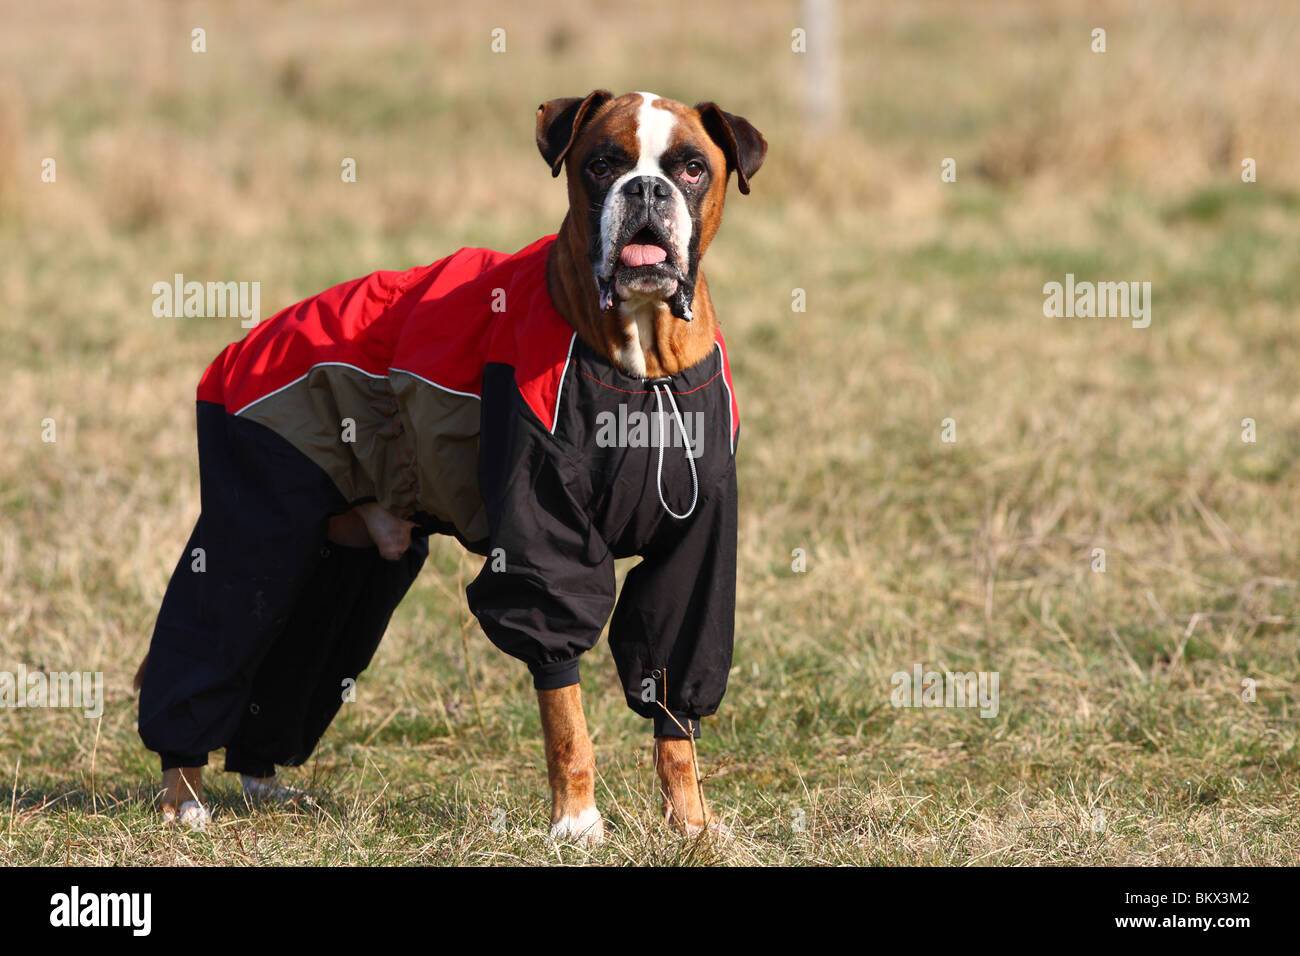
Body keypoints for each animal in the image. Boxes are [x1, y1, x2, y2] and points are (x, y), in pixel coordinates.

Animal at [134, 93, 759, 842]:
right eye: (602, 164)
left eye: (692, 168)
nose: (645, 189)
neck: (642, 366)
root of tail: (244, 345)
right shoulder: (542, 554)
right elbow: (565, 711)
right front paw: (576, 821)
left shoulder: (692, 562)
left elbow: (673, 707)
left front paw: (691, 823)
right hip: (255, 542)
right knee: (200, 653)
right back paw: (183, 797)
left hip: (347, 568)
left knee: (292, 664)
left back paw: (261, 778)